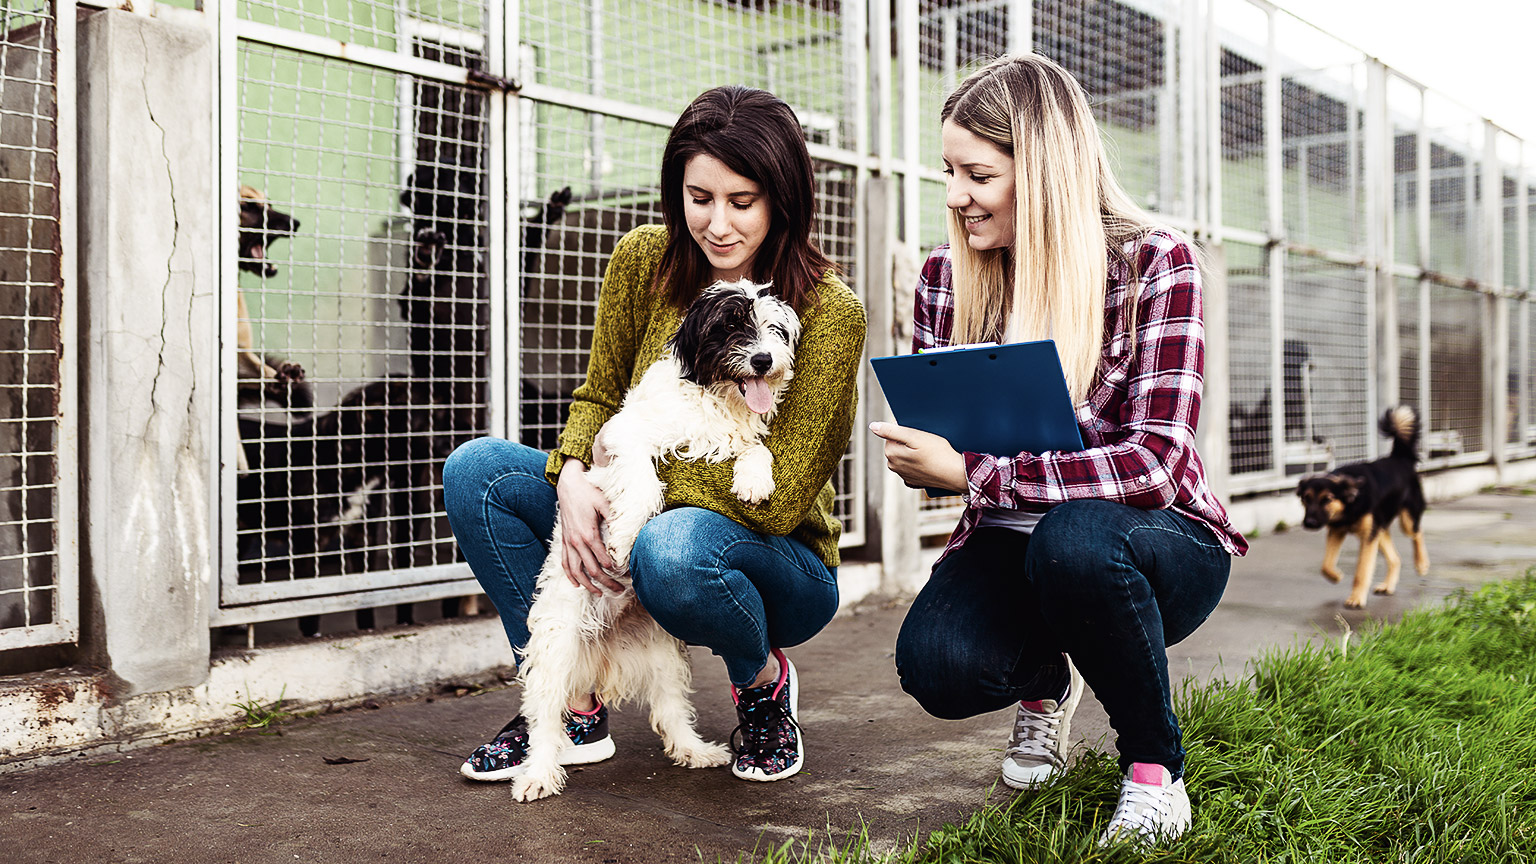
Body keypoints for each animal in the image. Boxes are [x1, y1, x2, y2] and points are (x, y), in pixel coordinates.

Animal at [513, 281, 804, 799]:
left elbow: (757, 449)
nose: (764, 359)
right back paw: (539, 774)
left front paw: (754, 481)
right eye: (731, 324)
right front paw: (625, 536)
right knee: (545, 718)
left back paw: (695, 750)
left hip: (664, 653)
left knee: (671, 710)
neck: (713, 397)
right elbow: (644, 481)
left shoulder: (738, 437)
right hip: (557, 646)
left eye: (774, 328)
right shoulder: (625, 435)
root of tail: (604, 639)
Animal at [1296, 405, 1425, 608]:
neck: (1350, 504)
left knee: (1417, 533)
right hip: (1379, 528)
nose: (1309, 523)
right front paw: (1335, 576)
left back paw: (1421, 564)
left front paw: (1356, 598)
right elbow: (1325, 565)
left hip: (1405, 521)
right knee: (1395, 558)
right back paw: (1387, 585)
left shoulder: (1367, 537)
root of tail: (1400, 458)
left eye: (1327, 499)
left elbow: (1362, 571)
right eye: (1306, 499)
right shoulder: (1337, 531)